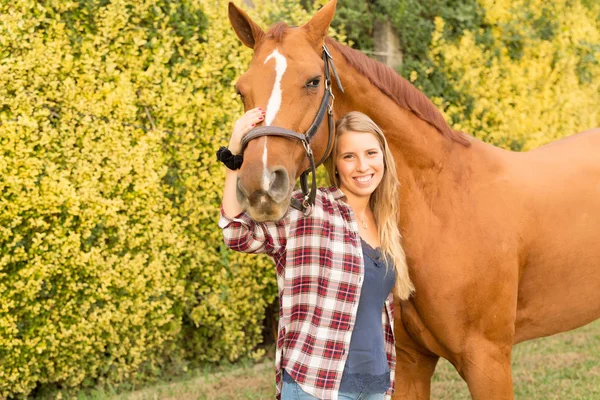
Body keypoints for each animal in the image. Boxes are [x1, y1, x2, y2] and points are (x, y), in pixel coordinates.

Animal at [227, 1, 600, 398]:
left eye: (313, 81)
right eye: (241, 90)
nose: (261, 185)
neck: (444, 205)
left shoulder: (489, 362)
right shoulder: (410, 361)